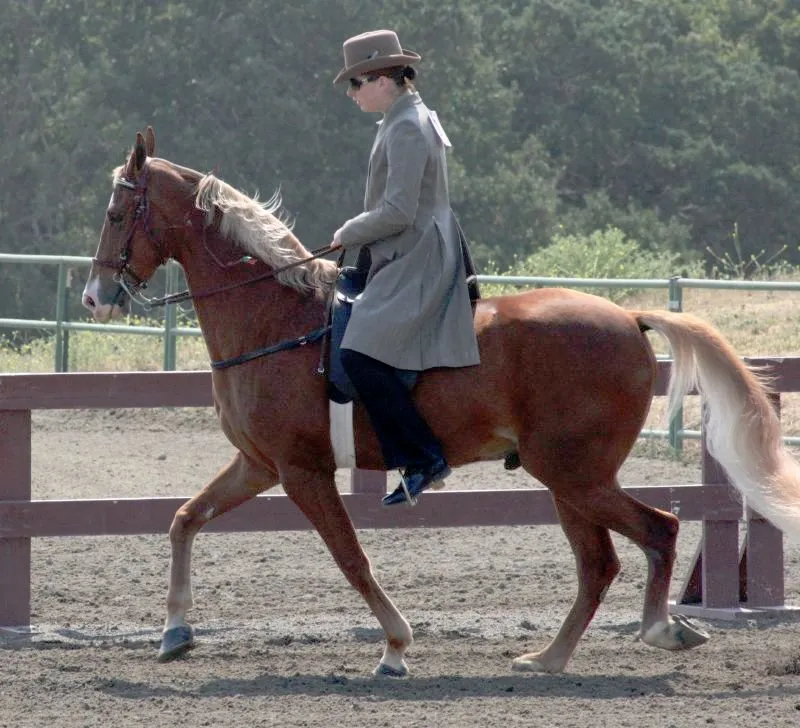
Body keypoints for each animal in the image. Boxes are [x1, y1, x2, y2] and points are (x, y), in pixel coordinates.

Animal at [82, 127, 800, 676]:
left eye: (117, 215)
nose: (95, 297)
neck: (274, 318)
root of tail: (627, 317)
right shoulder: (260, 464)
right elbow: (185, 519)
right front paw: (175, 633)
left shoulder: (302, 471)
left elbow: (352, 558)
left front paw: (396, 649)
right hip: (569, 479)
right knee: (600, 562)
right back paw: (549, 659)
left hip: (574, 473)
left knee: (656, 531)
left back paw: (658, 630)